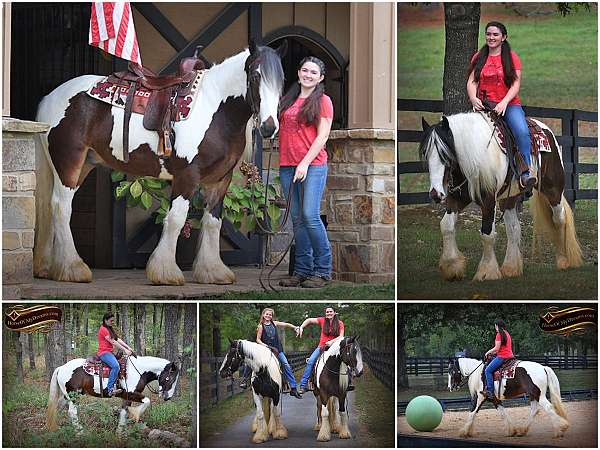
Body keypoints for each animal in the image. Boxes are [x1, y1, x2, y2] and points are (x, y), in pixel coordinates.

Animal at [34, 43, 286, 288]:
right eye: (255, 75)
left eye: (282, 81)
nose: (269, 127)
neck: (215, 109)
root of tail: (50, 97)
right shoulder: (187, 176)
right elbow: (176, 219)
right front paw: (165, 273)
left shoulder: (219, 180)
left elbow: (213, 222)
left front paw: (213, 272)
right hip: (68, 164)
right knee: (61, 207)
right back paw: (73, 269)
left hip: (83, 165)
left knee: (50, 207)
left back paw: (50, 267)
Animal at [46, 356, 178, 432]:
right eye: (170, 379)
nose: (168, 397)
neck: (139, 371)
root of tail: (61, 367)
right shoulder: (131, 394)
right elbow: (147, 401)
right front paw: (135, 414)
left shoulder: (126, 397)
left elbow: (124, 413)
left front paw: (120, 434)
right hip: (73, 395)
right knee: (72, 412)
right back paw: (80, 432)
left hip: (66, 396)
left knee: (57, 407)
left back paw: (55, 429)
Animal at [420, 112, 584, 282]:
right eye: (425, 152)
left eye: (445, 154)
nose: (435, 194)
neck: (474, 154)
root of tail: (547, 131)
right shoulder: (457, 198)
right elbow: (446, 225)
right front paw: (451, 266)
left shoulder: (488, 199)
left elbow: (487, 233)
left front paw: (486, 271)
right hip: (509, 198)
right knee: (514, 228)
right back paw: (511, 267)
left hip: (553, 190)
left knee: (559, 219)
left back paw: (563, 260)